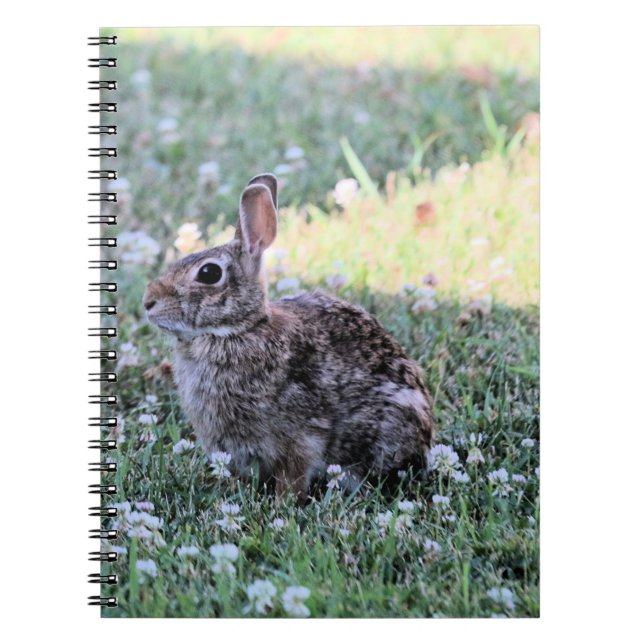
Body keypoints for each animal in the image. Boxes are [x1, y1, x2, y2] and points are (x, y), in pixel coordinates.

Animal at [143, 173, 436, 501]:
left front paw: (282, 502)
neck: (239, 330)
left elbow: (294, 475)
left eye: (208, 273)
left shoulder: (301, 437)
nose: (148, 302)